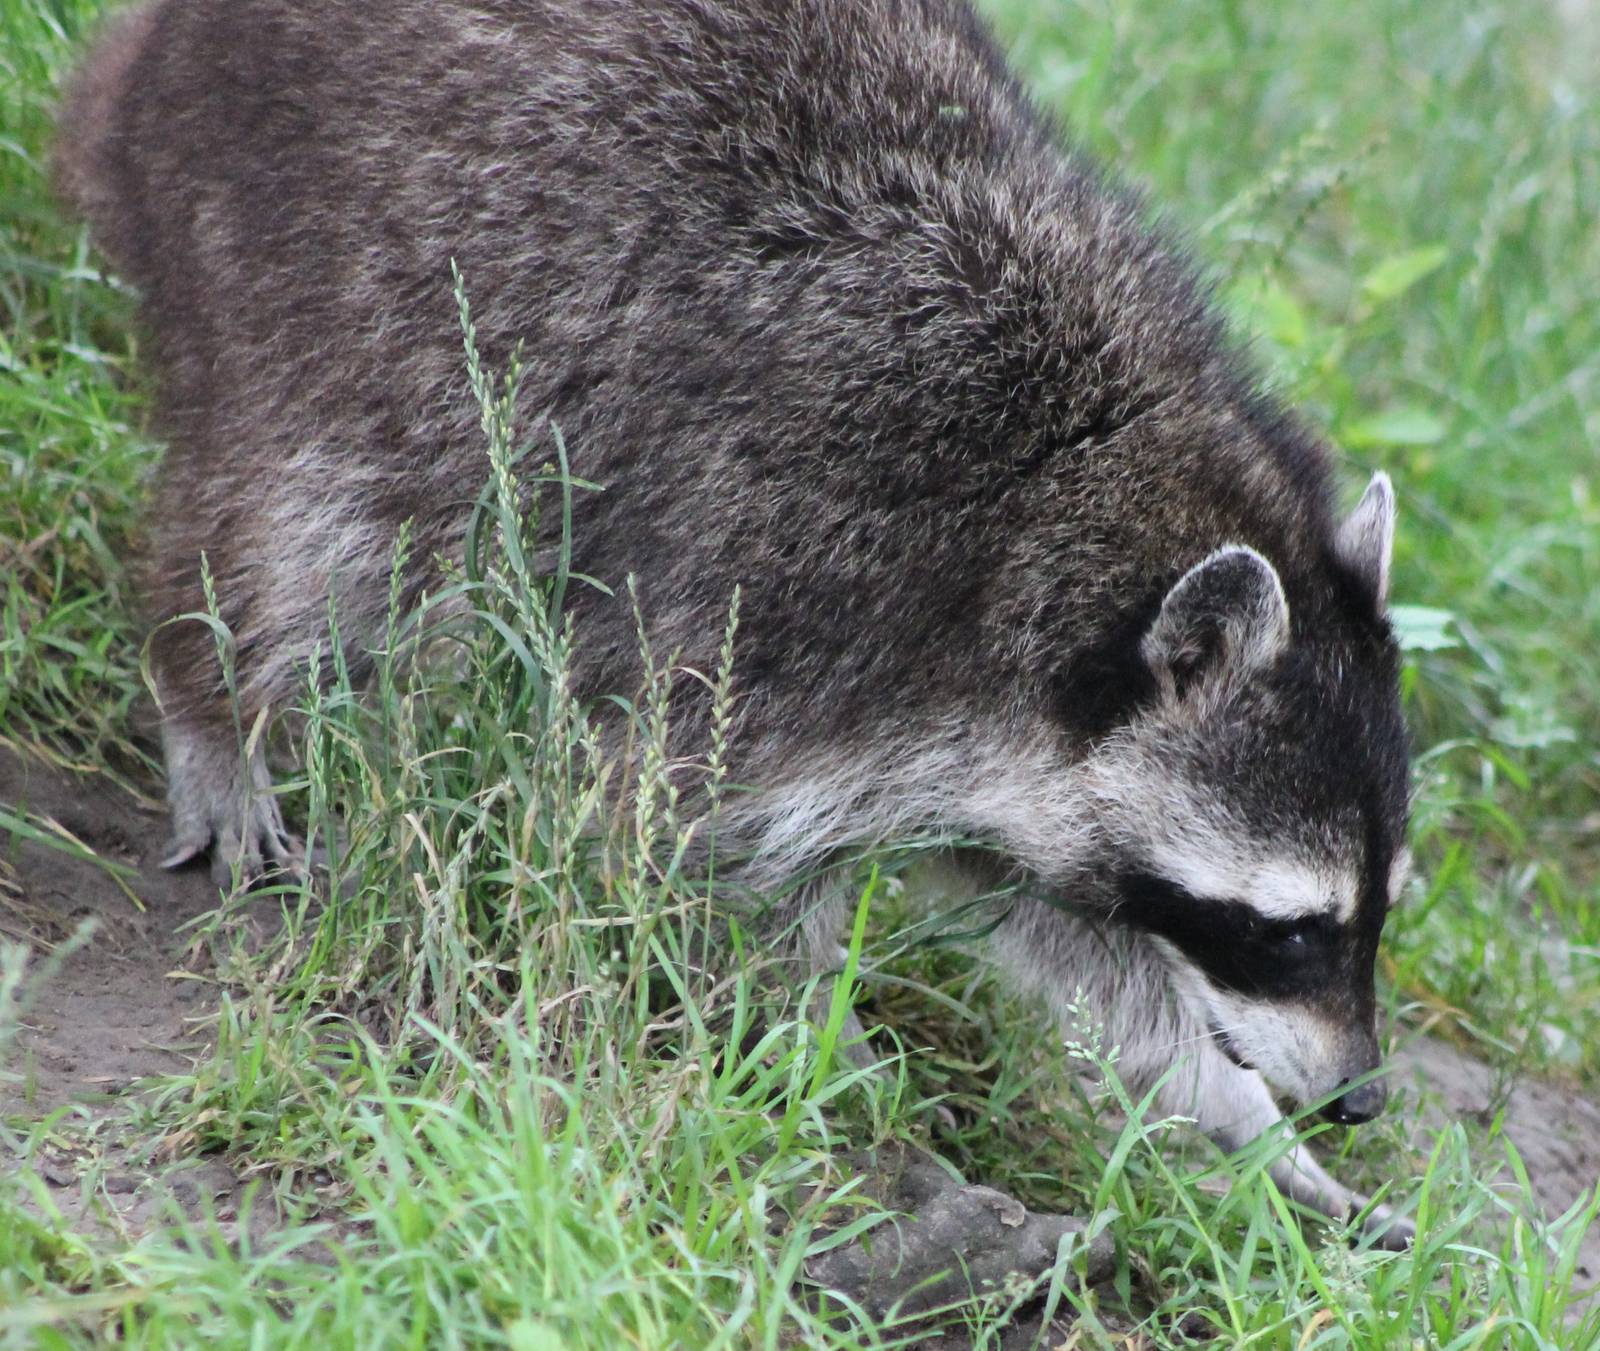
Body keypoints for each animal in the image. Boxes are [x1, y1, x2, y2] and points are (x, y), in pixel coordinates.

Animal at [56, 0, 1414, 1245]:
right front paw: (833, 1080)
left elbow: (1055, 925)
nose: (1359, 1099)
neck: (1081, 497)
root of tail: (158, 49)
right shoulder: (780, 587)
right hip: (318, 260)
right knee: (300, 531)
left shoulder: (1004, 757)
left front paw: (1232, 1108)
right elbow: (658, 857)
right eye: (1291, 929)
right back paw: (208, 695)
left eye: (1376, 911)